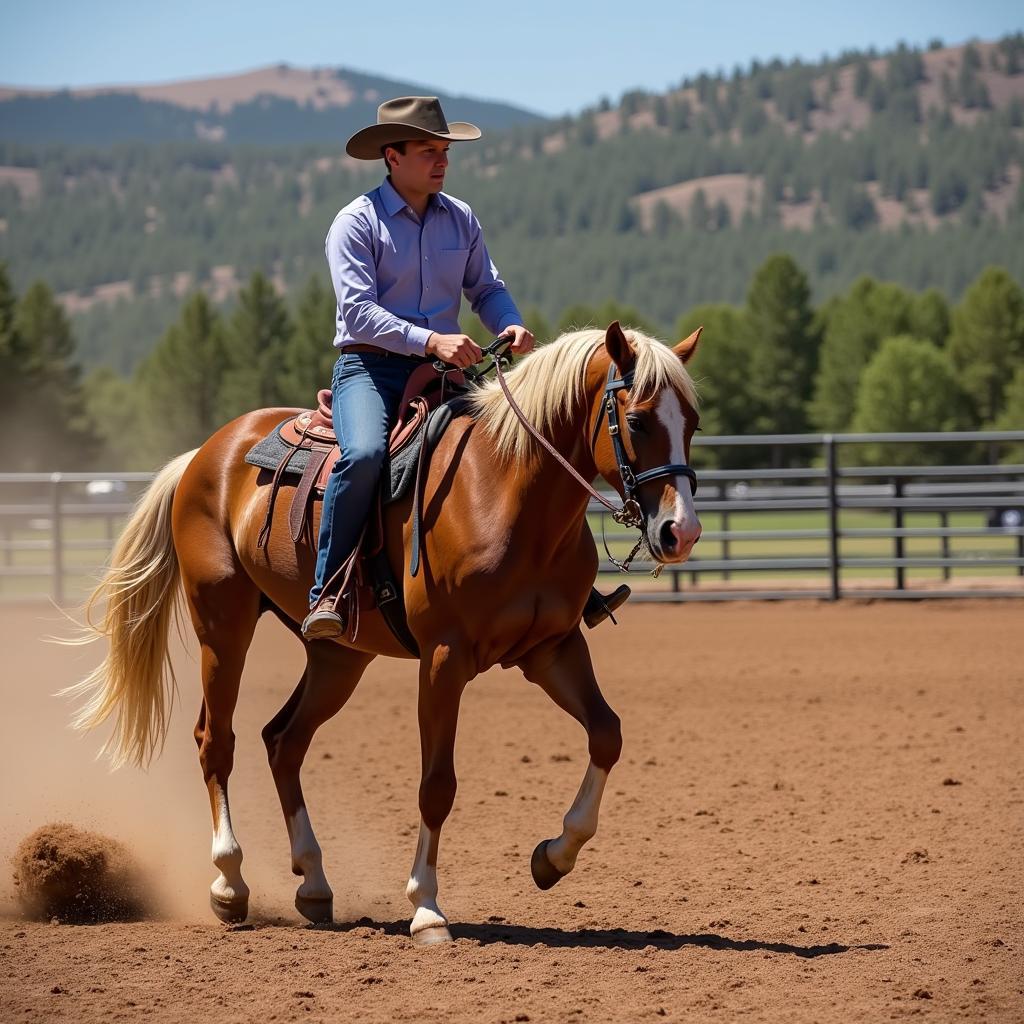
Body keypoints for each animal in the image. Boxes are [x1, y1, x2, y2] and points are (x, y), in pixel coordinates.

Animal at [68, 321, 700, 942]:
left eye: (692, 422)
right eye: (638, 420)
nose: (682, 532)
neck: (505, 492)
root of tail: (206, 453)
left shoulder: (552, 649)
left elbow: (607, 734)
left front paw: (553, 856)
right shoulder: (445, 657)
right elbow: (437, 784)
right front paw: (426, 907)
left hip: (338, 657)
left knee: (284, 740)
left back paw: (314, 882)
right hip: (222, 627)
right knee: (215, 740)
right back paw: (229, 882)